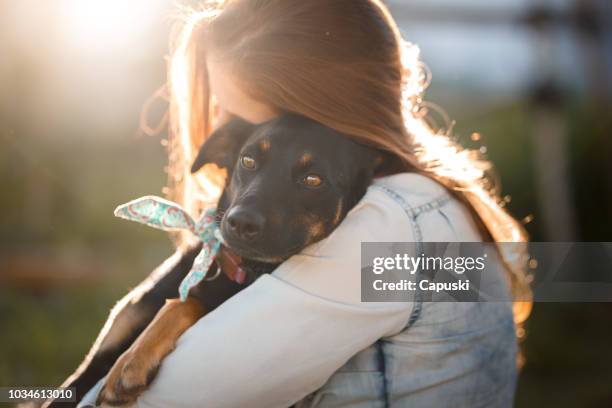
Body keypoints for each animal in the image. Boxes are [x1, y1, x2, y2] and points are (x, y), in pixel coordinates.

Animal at [49, 113, 402, 406]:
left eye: (313, 179)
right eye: (248, 160)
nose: (240, 222)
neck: (239, 269)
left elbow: (184, 303)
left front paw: (132, 360)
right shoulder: (88, 366)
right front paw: (133, 356)